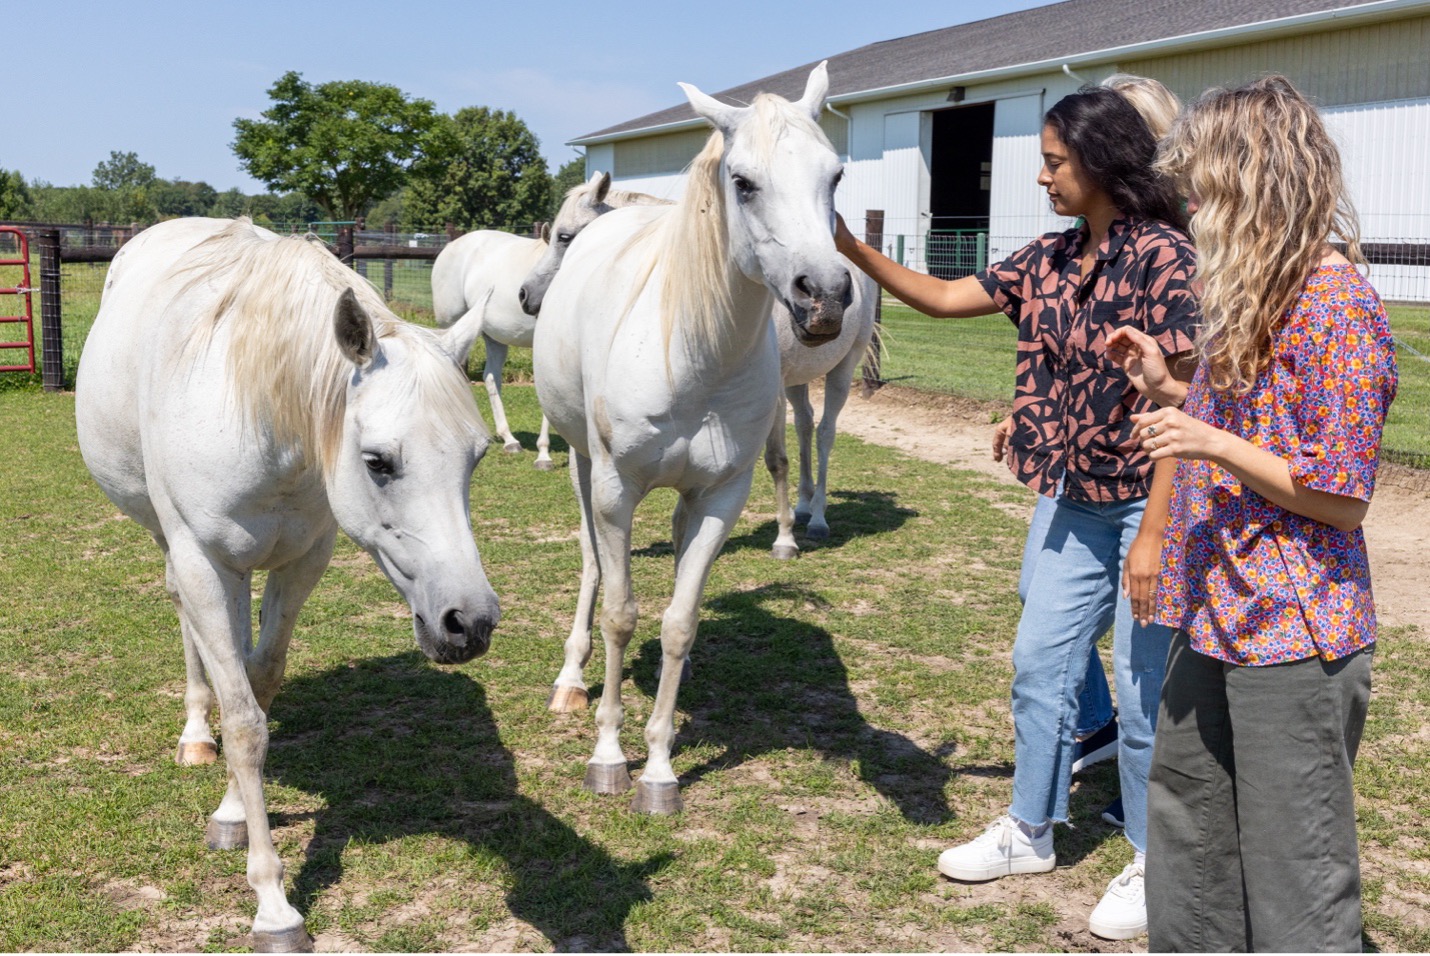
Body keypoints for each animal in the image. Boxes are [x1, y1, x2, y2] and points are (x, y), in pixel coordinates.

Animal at [79, 215, 503, 948]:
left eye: (476, 456)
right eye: (378, 461)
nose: (469, 623)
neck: (260, 415)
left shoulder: (302, 562)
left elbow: (260, 686)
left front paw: (231, 813)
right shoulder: (202, 559)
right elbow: (244, 721)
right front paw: (273, 905)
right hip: (174, 542)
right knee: (186, 620)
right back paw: (195, 735)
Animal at [534, 63, 846, 811]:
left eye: (836, 176)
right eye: (743, 181)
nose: (823, 296)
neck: (692, 350)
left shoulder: (720, 498)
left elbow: (679, 619)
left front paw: (659, 765)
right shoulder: (616, 490)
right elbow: (621, 612)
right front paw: (609, 756)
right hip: (584, 467)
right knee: (592, 563)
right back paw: (572, 681)